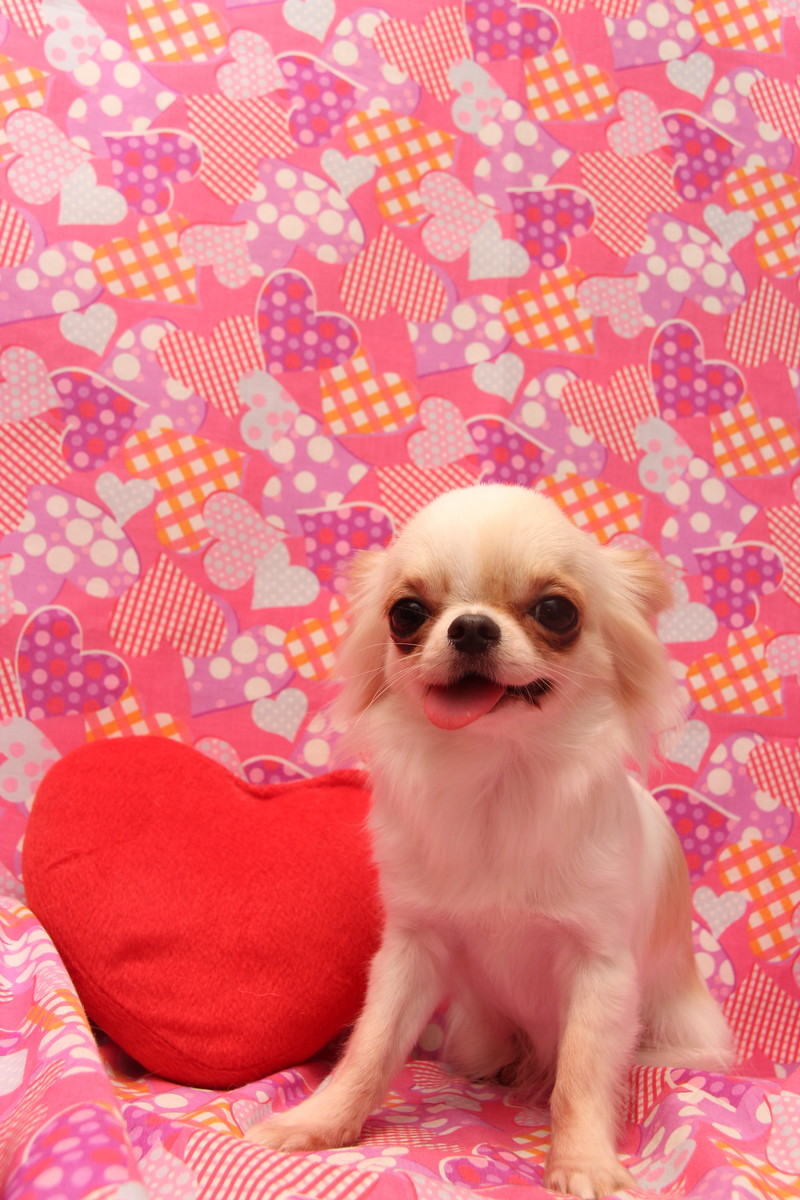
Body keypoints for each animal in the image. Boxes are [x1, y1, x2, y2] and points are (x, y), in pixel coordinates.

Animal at [247, 483, 734, 1198]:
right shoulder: (412, 950)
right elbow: (370, 1048)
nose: (471, 626)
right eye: (407, 613)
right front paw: (319, 1122)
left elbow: (582, 1077)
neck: (496, 783)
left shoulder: (601, 969)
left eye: (557, 611)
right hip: (476, 1035)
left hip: (682, 1032)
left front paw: (583, 1163)